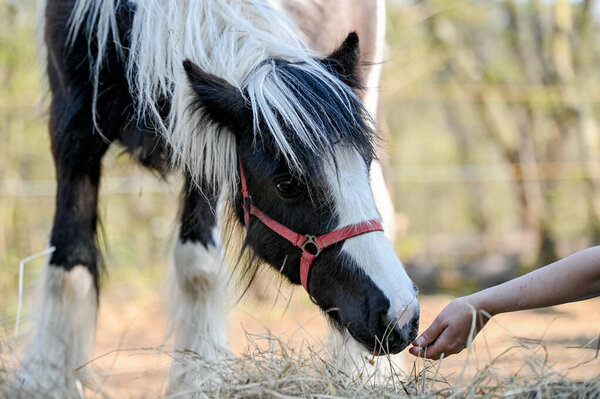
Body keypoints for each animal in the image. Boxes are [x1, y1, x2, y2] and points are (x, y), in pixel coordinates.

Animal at [18, 0, 420, 396]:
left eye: (365, 161)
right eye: (286, 184)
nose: (402, 316)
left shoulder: (204, 145)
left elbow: (197, 265)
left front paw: (198, 376)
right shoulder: (73, 130)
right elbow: (69, 266)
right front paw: (48, 378)